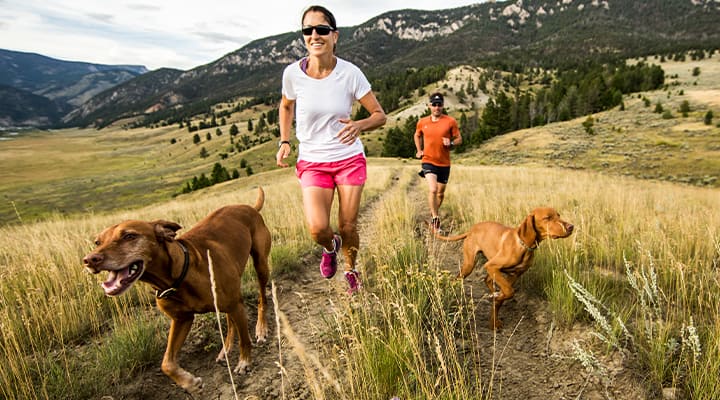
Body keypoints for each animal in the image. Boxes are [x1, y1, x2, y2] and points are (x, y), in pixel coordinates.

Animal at [81, 188, 272, 394]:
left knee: (262, 299)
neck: (178, 277)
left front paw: (244, 362)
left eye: (129, 236)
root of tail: (249, 207)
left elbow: (245, 340)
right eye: (97, 242)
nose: (90, 260)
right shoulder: (181, 319)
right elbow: (166, 363)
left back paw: (261, 328)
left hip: (260, 265)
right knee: (230, 321)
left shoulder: (235, 304)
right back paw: (226, 348)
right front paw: (189, 382)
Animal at [434, 208, 572, 330]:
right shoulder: (491, 266)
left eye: (558, 215)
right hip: (470, 264)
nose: (571, 227)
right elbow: (509, 291)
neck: (523, 245)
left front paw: (494, 320)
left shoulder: (514, 274)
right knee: (456, 279)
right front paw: (496, 301)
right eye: (547, 218)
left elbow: (505, 294)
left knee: (487, 280)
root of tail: (471, 230)